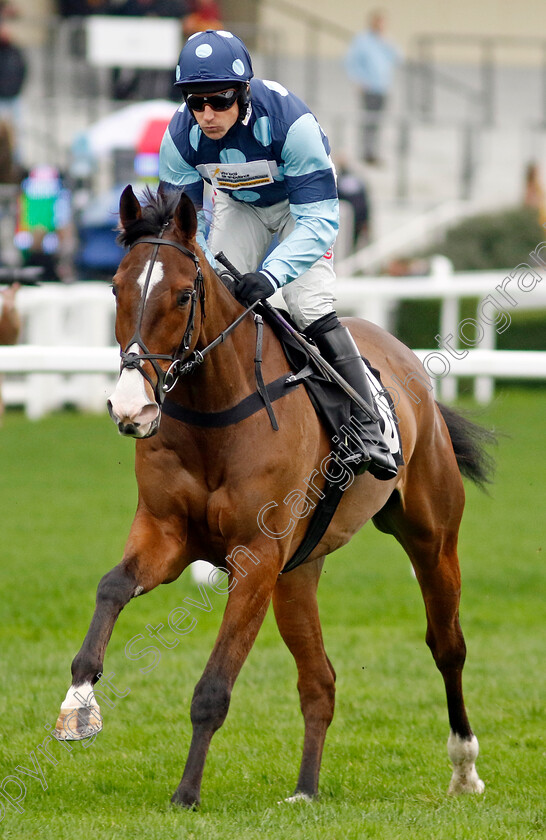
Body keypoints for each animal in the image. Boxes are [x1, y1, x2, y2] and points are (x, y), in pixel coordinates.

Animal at [53, 185, 490, 808]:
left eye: (183, 294)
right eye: (116, 287)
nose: (130, 407)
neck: (215, 414)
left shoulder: (255, 559)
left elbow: (213, 687)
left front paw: (186, 793)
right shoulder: (167, 535)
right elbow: (112, 586)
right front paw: (78, 702)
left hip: (432, 538)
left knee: (446, 645)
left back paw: (464, 768)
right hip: (298, 573)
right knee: (320, 679)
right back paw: (305, 790)